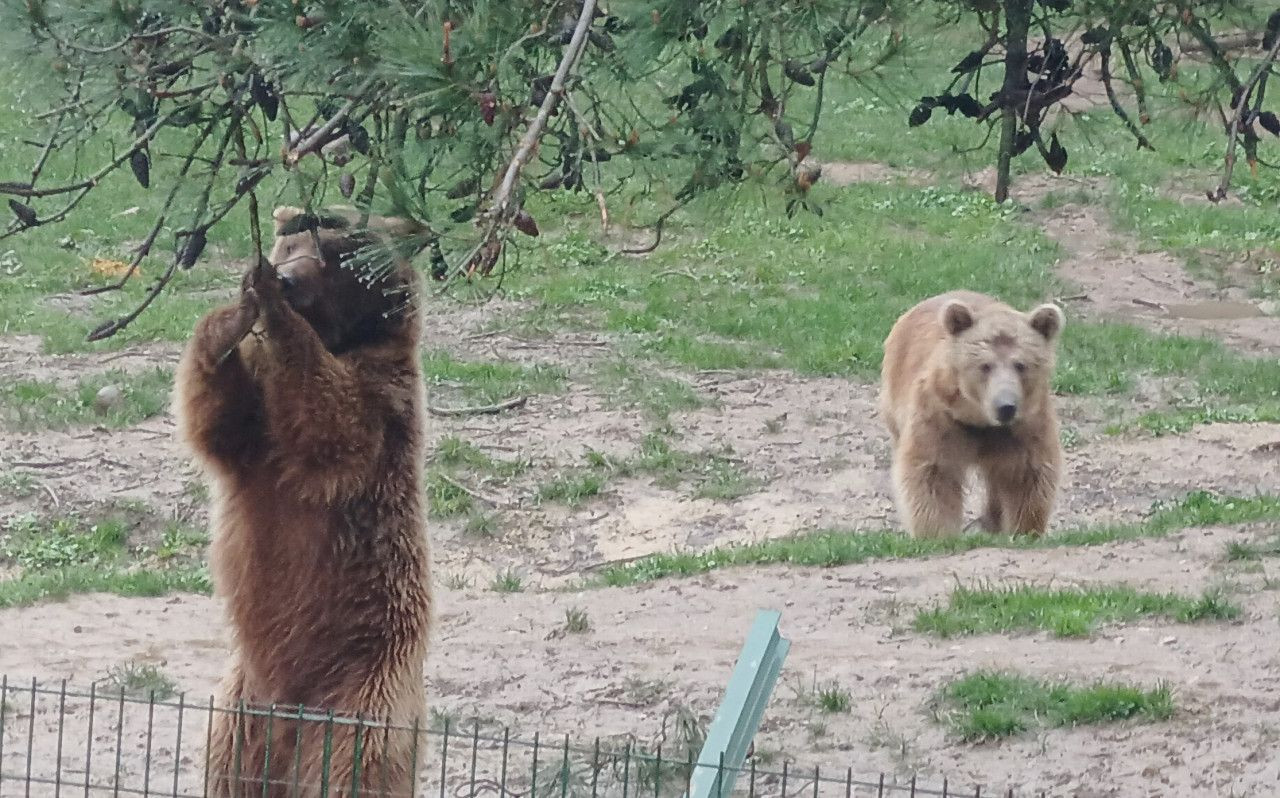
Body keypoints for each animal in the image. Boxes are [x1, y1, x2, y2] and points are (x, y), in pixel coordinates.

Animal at [172, 207, 432, 798]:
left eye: (333, 254)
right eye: (291, 244)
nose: (286, 279)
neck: (343, 338)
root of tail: (290, 729)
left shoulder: (383, 397)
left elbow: (329, 420)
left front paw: (273, 307)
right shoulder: (257, 435)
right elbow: (216, 418)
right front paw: (237, 309)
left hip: (365, 690)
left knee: (358, 763)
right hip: (239, 712)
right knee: (227, 767)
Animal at [880, 290, 1070, 540]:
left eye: (1021, 364)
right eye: (985, 365)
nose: (1006, 406)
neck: (979, 420)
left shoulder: (1025, 426)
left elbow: (1027, 476)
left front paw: (1023, 530)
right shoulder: (940, 417)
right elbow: (932, 472)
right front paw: (938, 533)